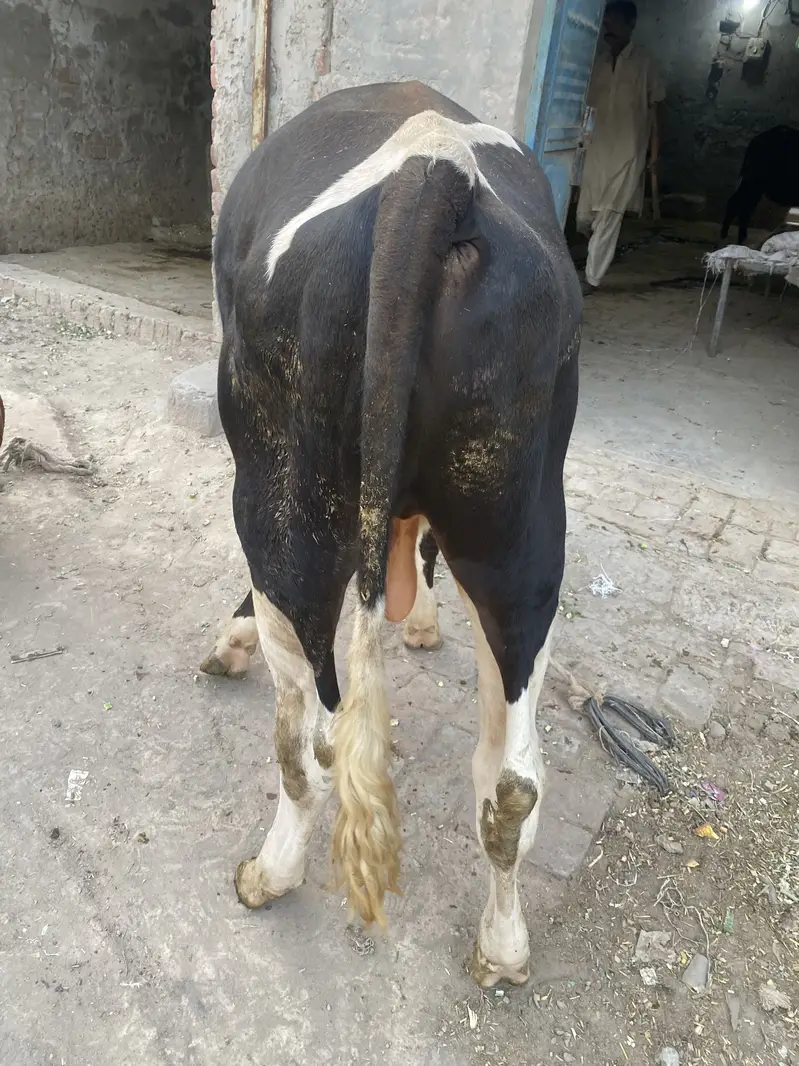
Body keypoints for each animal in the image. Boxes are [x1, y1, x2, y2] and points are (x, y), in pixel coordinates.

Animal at [209, 80, 581, 987]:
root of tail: (434, 169)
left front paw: (229, 637)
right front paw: (421, 621)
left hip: (283, 505)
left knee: (310, 737)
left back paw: (269, 872)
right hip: (520, 539)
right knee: (510, 780)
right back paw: (502, 947)